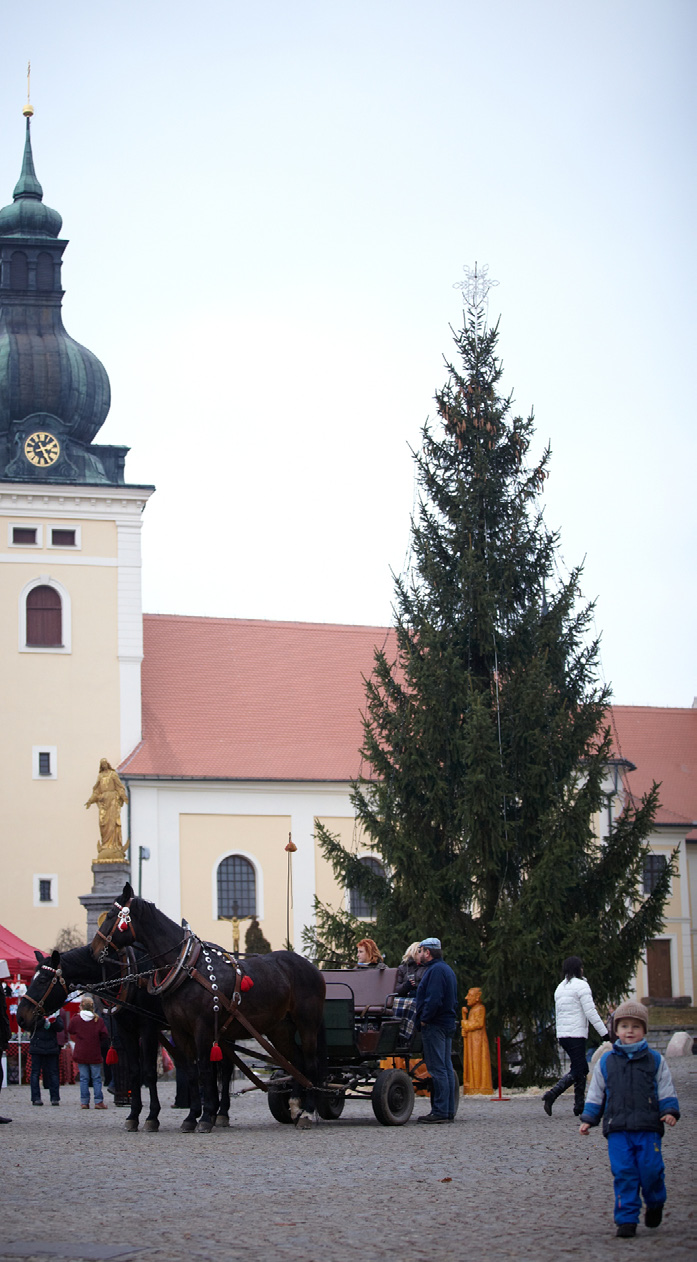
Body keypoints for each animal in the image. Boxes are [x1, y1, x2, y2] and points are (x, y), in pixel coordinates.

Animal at [92, 888, 325, 1135]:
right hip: (279, 1028)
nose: (94, 949)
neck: (188, 968)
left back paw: (307, 1111)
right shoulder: (176, 1030)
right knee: (295, 1062)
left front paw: (200, 1118)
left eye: (110, 916)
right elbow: (189, 1072)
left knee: (310, 1063)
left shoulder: (193, 1028)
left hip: (307, 1023)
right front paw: (191, 1116)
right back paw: (294, 1106)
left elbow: (201, 1069)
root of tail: (310, 966)